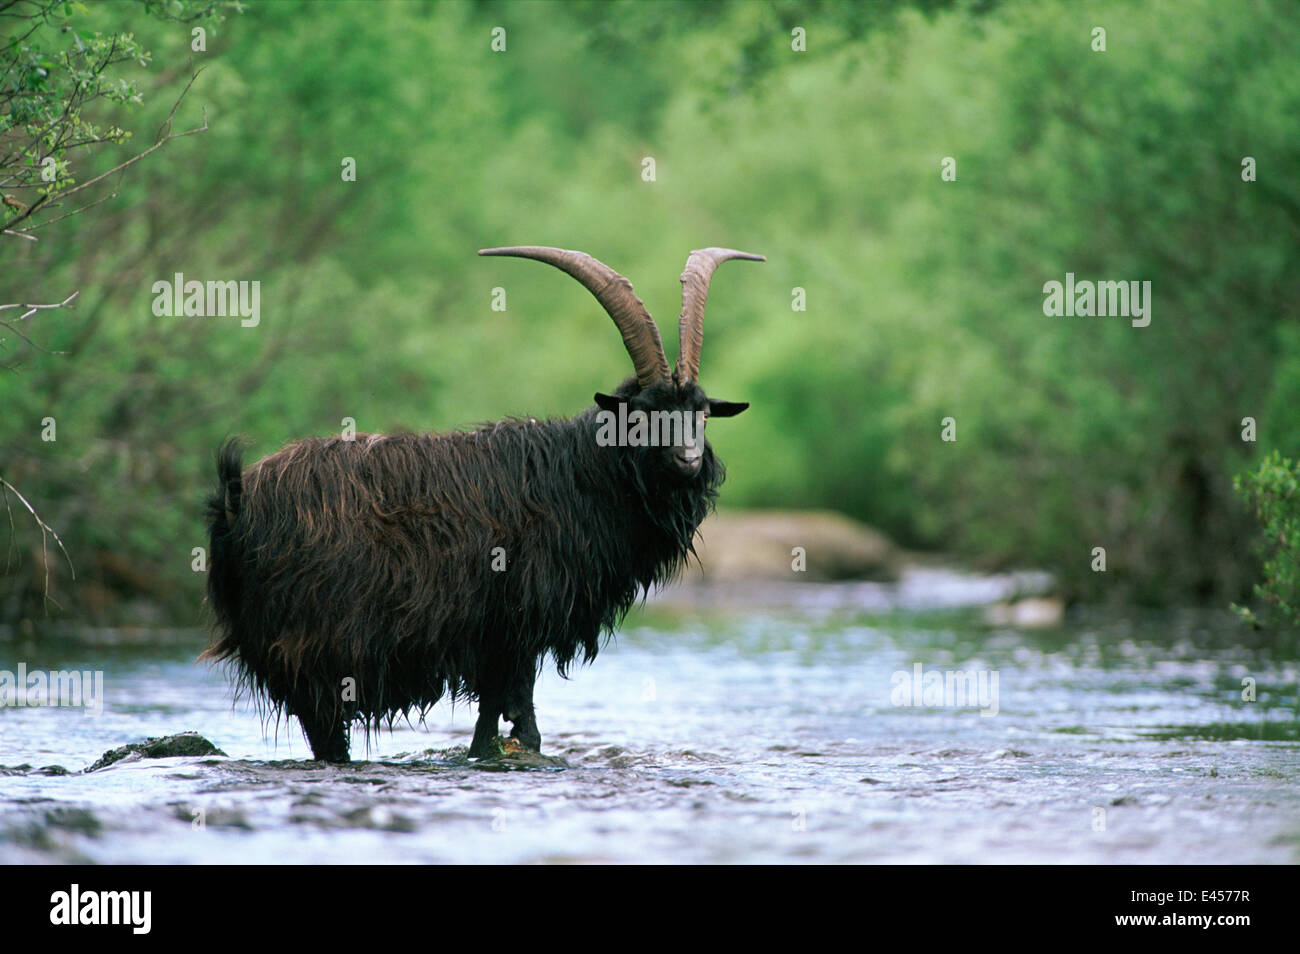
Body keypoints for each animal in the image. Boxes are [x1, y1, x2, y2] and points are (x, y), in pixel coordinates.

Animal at [202, 246, 759, 764]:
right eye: (644, 413)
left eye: (701, 411)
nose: (688, 459)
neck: (578, 475)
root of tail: (238, 503)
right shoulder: (513, 624)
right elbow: (518, 712)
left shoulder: (494, 635)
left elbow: (490, 720)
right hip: (313, 644)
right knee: (325, 729)